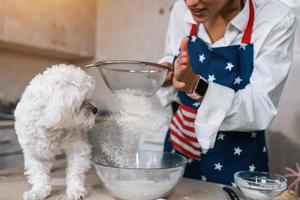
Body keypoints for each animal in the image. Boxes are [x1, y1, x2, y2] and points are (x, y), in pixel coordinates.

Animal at [14, 64, 96, 200]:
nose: (95, 109)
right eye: (81, 102)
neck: (52, 128)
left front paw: (75, 190)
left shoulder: (78, 148)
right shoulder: (34, 153)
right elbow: (39, 175)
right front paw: (38, 191)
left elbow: (75, 171)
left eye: (89, 97)